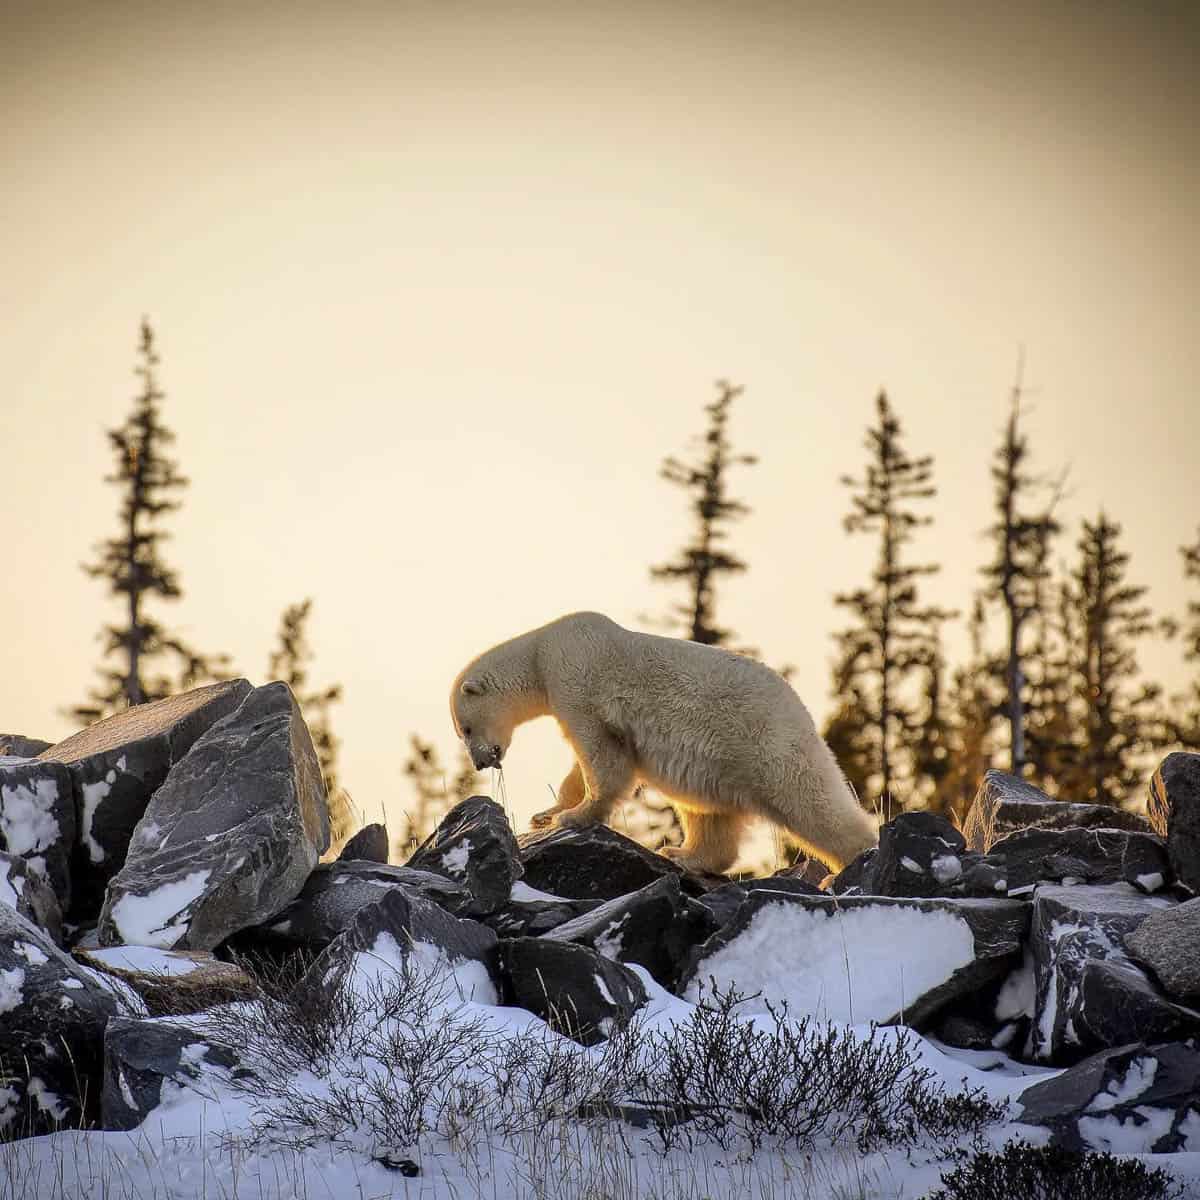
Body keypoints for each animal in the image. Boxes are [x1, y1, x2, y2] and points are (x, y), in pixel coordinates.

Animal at [446, 614, 878, 878]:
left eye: (465, 729)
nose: (482, 763)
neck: (541, 651)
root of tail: (802, 711)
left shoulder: (576, 678)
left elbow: (601, 755)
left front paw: (572, 816)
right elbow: (579, 765)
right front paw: (545, 813)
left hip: (765, 742)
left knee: (810, 800)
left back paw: (852, 862)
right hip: (720, 765)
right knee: (708, 814)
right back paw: (683, 854)